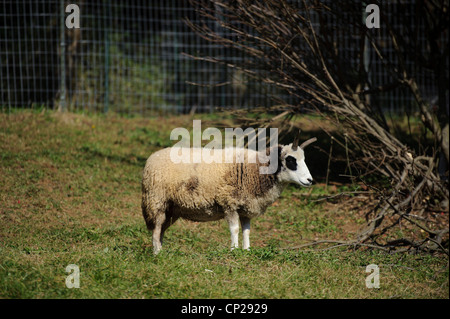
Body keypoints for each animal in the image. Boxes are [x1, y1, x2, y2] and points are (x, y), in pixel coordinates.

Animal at [142, 131, 316, 254]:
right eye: (291, 160)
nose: (310, 180)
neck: (255, 170)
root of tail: (152, 157)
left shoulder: (246, 207)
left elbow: (246, 231)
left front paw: (247, 250)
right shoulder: (229, 203)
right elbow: (235, 229)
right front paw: (234, 250)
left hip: (172, 209)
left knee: (161, 229)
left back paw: (162, 250)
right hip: (157, 201)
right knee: (156, 229)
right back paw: (158, 253)